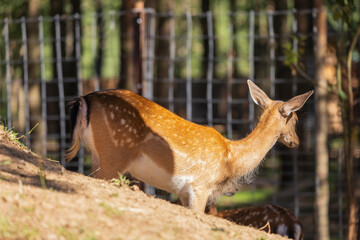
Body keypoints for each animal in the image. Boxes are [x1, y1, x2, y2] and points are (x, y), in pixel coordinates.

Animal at [66, 80, 314, 212]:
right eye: (295, 120)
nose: (296, 141)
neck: (231, 158)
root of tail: (85, 99)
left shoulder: (184, 192)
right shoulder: (200, 186)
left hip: (98, 155)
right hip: (114, 154)